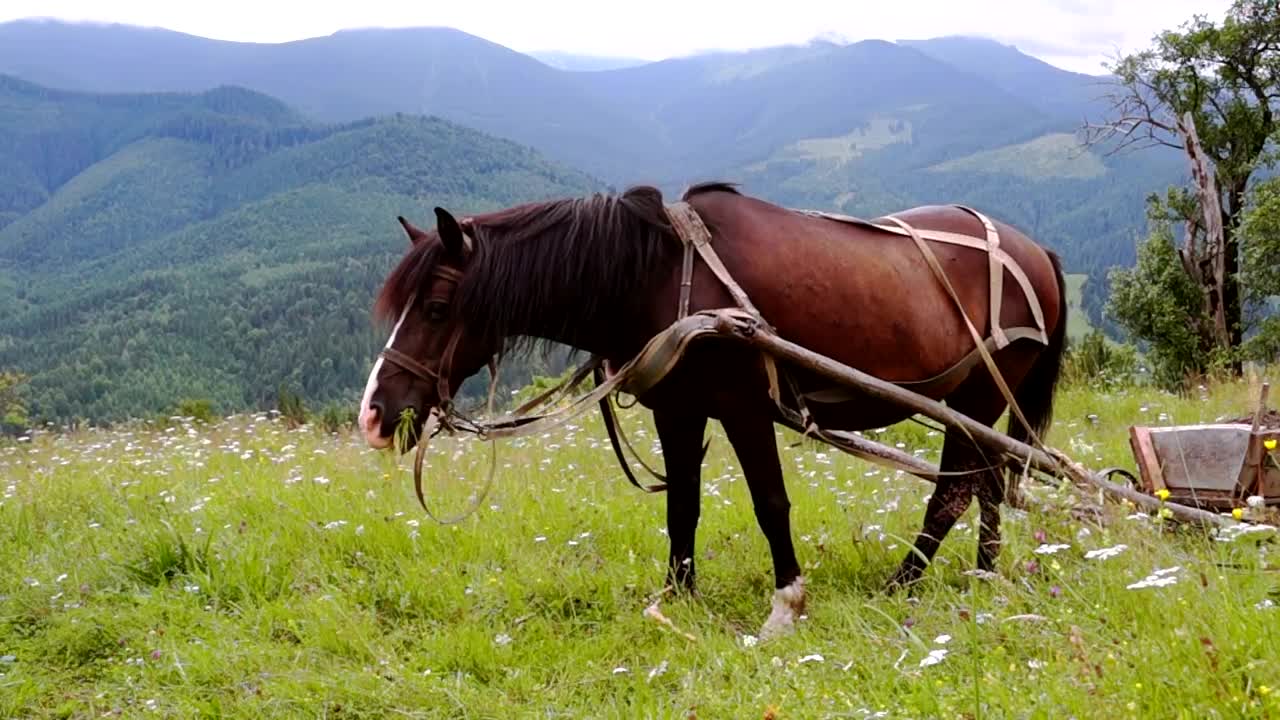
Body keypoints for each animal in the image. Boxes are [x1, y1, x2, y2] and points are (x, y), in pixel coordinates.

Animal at [355, 180, 1064, 638]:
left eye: (437, 308)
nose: (375, 415)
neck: (661, 276)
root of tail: (1036, 252)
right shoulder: (677, 410)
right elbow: (682, 506)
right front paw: (676, 598)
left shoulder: (744, 405)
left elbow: (770, 504)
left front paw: (786, 606)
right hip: (972, 407)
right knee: (988, 485)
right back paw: (985, 575)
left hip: (977, 399)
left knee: (954, 493)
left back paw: (904, 584)